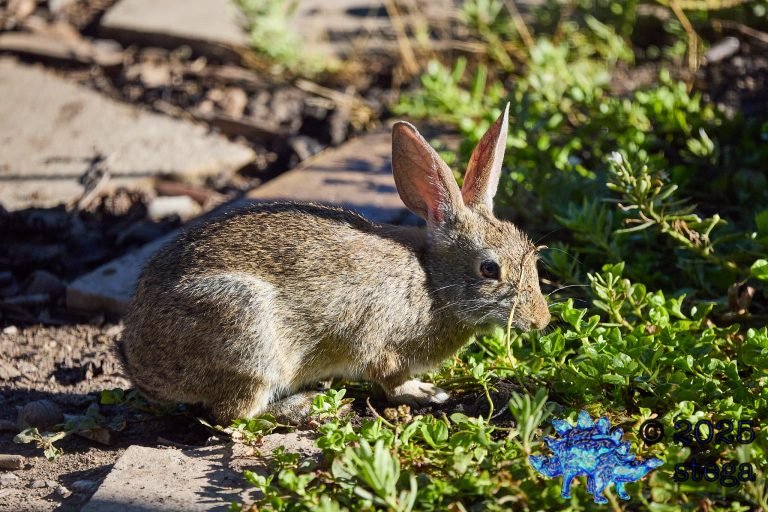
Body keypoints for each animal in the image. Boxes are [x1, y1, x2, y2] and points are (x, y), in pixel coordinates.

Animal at [117, 102, 551, 425]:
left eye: (530, 253)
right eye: (489, 269)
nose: (541, 320)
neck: (433, 282)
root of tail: (142, 366)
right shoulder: (382, 344)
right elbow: (391, 381)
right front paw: (429, 393)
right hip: (246, 335)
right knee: (234, 415)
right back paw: (304, 406)